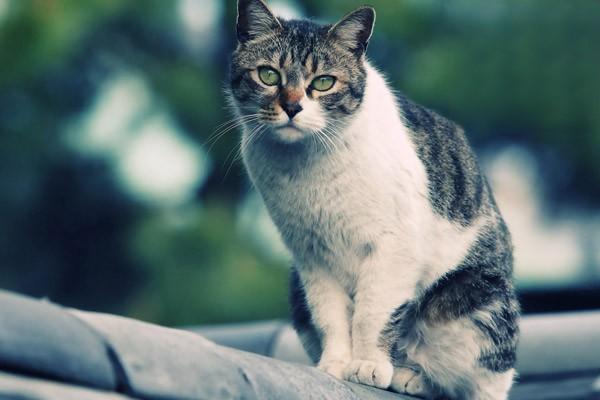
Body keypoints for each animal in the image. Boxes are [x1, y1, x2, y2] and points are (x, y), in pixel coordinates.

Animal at [227, 1, 516, 398]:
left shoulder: (394, 246)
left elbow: (371, 313)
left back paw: (411, 373)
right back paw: (408, 375)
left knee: (482, 378)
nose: (292, 107)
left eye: (323, 82)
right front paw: (335, 365)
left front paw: (366, 364)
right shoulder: (311, 258)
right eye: (269, 75)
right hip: (296, 289)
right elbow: (331, 317)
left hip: (476, 299)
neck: (305, 163)